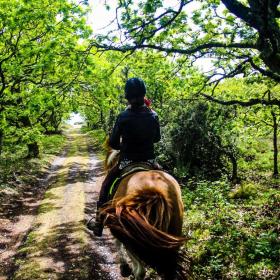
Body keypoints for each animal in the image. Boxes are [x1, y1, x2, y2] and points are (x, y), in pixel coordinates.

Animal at [100, 142, 190, 280]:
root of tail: (155, 191)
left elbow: (117, 243)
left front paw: (124, 266)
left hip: (131, 237)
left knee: (140, 270)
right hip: (173, 231)